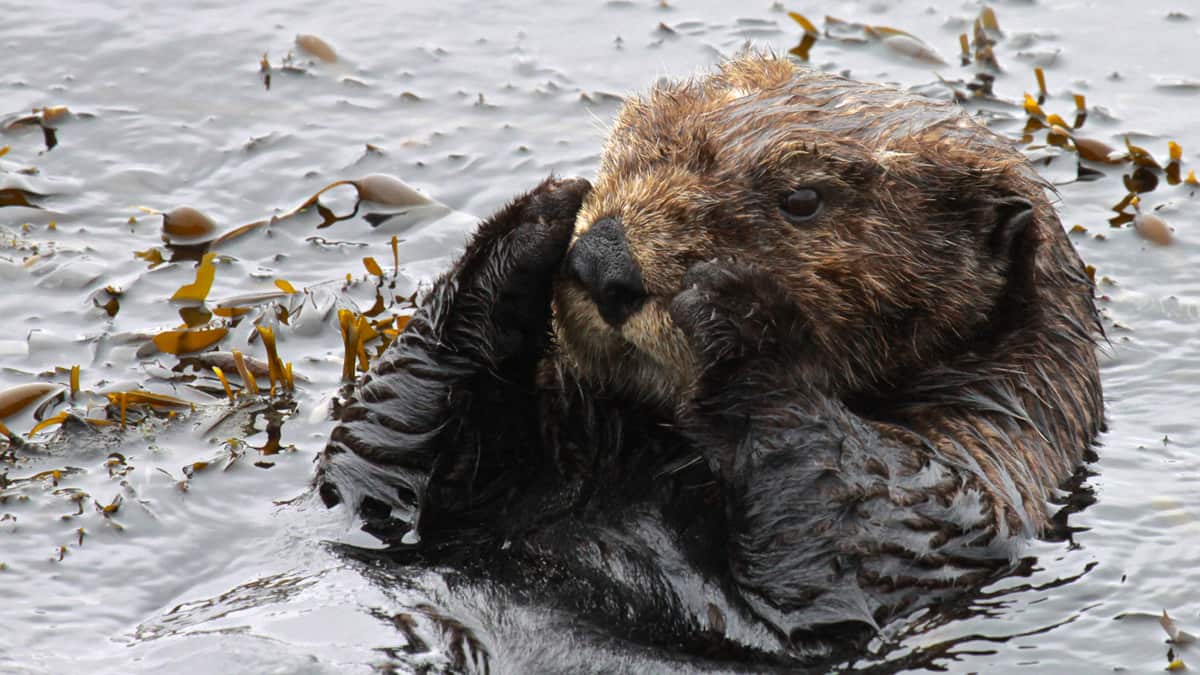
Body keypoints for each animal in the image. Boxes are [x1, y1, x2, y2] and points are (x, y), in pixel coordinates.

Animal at [316, 54, 1103, 668]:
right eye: (628, 144)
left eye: (803, 198)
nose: (603, 259)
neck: (650, 446)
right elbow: (370, 462)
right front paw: (538, 217)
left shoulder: (968, 485)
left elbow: (849, 529)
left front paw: (736, 304)